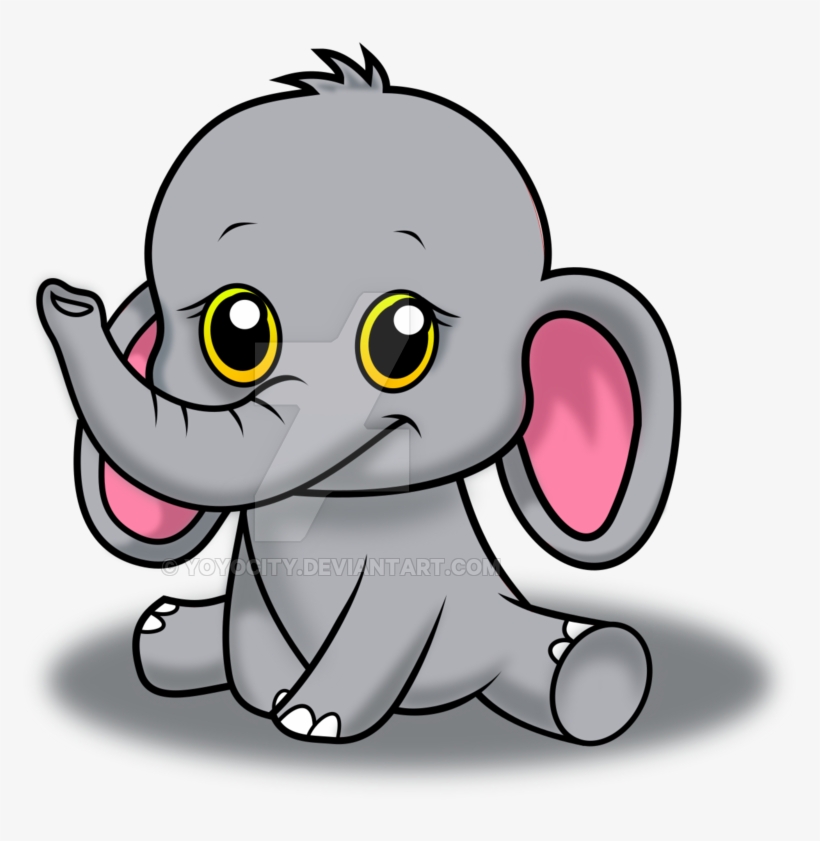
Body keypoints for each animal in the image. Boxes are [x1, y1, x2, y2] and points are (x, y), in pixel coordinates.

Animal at [37, 48, 680, 745]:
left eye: (404, 336)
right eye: (235, 329)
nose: (66, 299)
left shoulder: (414, 578)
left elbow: (385, 621)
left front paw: (312, 717)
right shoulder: (251, 569)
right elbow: (248, 624)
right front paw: (269, 697)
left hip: (498, 638)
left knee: (562, 667)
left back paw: (582, 653)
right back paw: (166, 626)